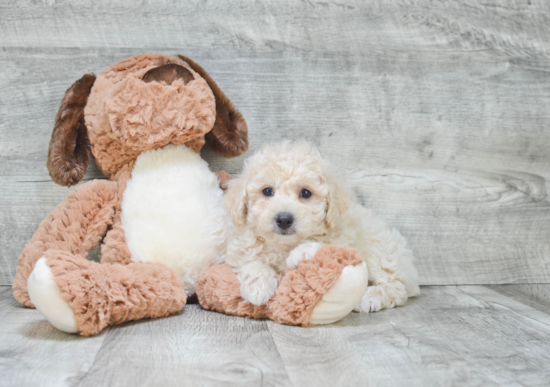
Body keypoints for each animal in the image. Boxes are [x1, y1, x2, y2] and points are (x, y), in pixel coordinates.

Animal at [226, 141, 420, 314]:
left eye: (306, 193)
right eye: (267, 191)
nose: (284, 219)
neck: (285, 245)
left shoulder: (344, 241)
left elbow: (323, 246)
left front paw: (299, 253)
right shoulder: (242, 245)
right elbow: (250, 259)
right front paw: (259, 286)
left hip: (379, 250)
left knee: (396, 286)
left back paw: (369, 297)